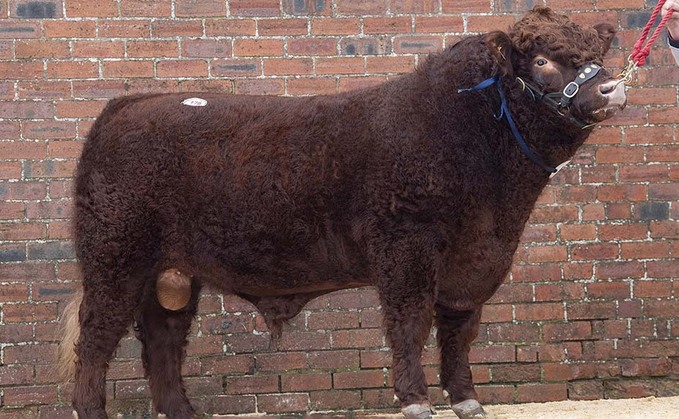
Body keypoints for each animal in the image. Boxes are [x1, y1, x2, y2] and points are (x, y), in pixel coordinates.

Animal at [59, 7, 628, 419]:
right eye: (542, 61)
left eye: (595, 51)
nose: (612, 87)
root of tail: (129, 104)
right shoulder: (406, 247)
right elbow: (411, 322)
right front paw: (415, 401)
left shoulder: (476, 262)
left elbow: (459, 330)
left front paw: (466, 398)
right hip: (114, 259)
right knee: (96, 339)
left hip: (171, 275)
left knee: (162, 341)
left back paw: (183, 412)